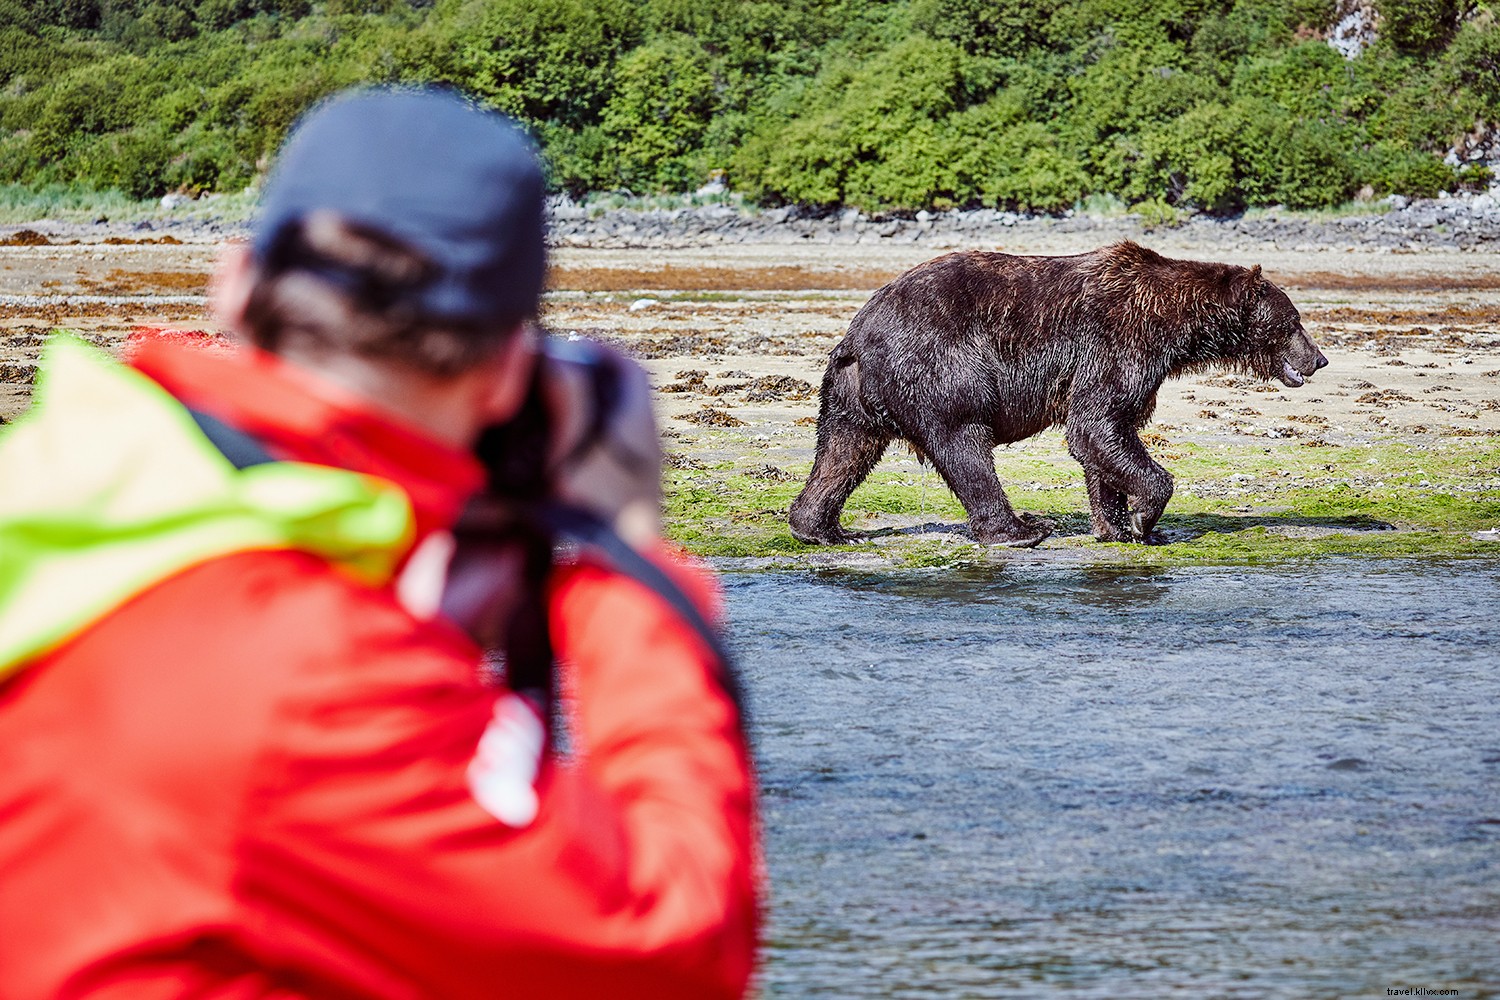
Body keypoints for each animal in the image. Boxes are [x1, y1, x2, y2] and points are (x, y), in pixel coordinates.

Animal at [786, 241, 1326, 548]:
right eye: (1294, 321)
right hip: (942, 367)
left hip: (851, 392)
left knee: (844, 451)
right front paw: (1144, 518)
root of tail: (859, 332)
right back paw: (1020, 530)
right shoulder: (1116, 345)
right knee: (965, 445)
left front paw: (1116, 525)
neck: (1175, 326)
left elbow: (1103, 440)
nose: (1318, 359)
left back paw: (820, 527)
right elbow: (1099, 423)